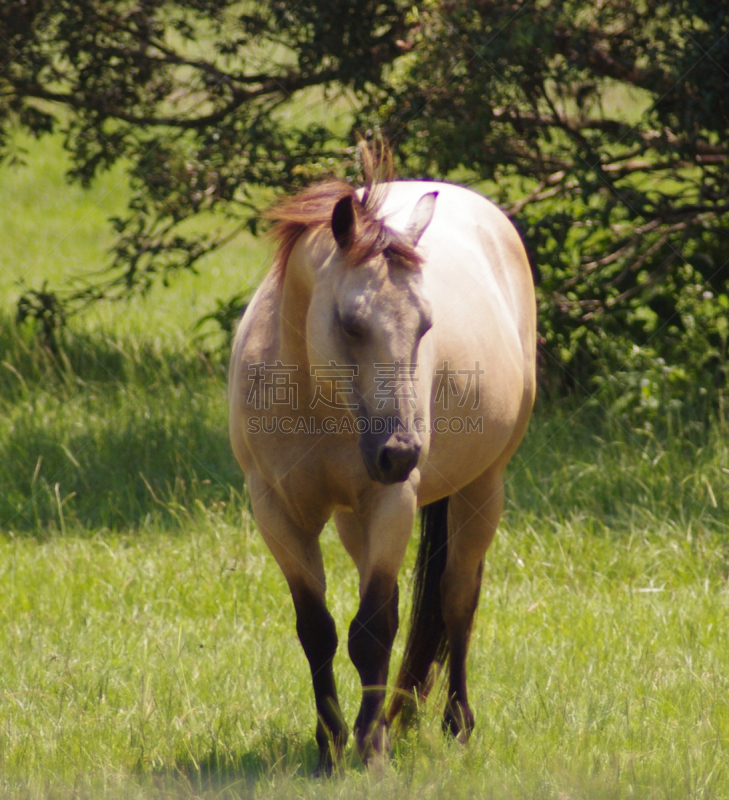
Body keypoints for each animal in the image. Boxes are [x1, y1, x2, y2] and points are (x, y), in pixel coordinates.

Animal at [228, 150, 536, 776]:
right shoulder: (276, 512)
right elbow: (318, 629)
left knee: (457, 597)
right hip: (357, 518)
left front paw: (370, 749)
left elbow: (373, 630)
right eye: (351, 323)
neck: (313, 401)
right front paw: (330, 745)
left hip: (481, 488)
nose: (400, 452)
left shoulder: (392, 499)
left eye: (425, 324)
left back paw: (457, 725)